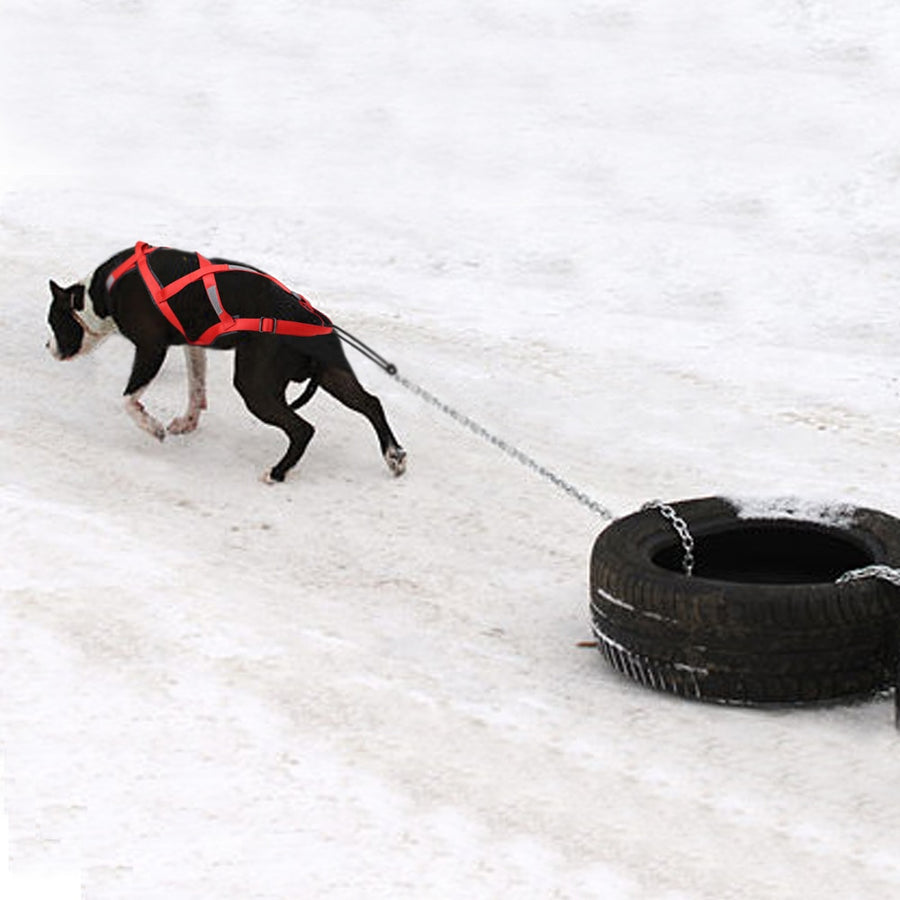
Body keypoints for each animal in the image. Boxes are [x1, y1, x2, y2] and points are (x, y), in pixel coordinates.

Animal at [45, 237, 404, 478]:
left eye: (53, 322)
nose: (47, 346)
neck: (99, 293)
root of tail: (312, 318)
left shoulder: (151, 348)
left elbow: (129, 400)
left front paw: (153, 427)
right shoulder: (192, 345)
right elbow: (196, 387)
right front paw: (187, 422)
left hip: (254, 386)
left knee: (303, 429)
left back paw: (277, 473)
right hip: (331, 374)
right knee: (371, 404)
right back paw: (394, 456)